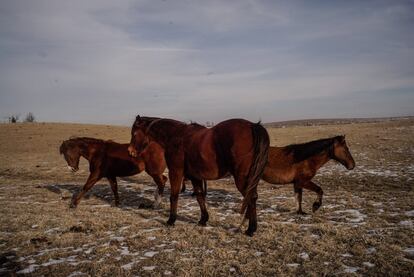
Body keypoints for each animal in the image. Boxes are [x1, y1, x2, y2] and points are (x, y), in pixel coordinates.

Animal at [129, 115, 272, 235]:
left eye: (134, 133)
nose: (130, 152)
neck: (176, 136)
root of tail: (252, 126)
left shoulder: (175, 172)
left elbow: (174, 196)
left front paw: (171, 220)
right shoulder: (195, 177)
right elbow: (199, 197)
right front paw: (203, 219)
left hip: (242, 179)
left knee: (251, 197)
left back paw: (251, 229)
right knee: (253, 197)